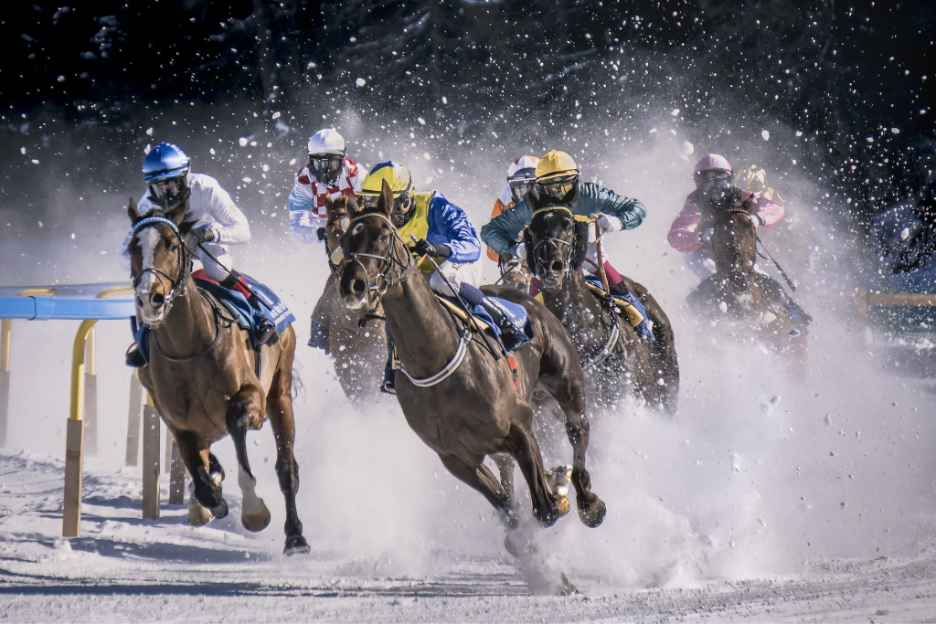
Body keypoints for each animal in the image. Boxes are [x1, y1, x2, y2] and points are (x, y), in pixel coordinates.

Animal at [125, 198, 309, 555]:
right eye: (131, 248)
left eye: (171, 244)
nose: (149, 298)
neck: (189, 348)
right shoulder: (179, 422)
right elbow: (200, 476)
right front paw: (209, 498)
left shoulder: (253, 398)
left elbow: (235, 420)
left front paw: (253, 510)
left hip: (279, 392)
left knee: (286, 469)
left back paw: (295, 536)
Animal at [335, 180, 606, 533]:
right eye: (344, 240)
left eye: (383, 235)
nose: (351, 286)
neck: (437, 361)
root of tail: (528, 295)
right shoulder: (456, 458)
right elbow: (508, 509)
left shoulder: (519, 426)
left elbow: (545, 508)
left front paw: (558, 488)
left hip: (567, 380)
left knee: (578, 428)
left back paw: (587, 501)